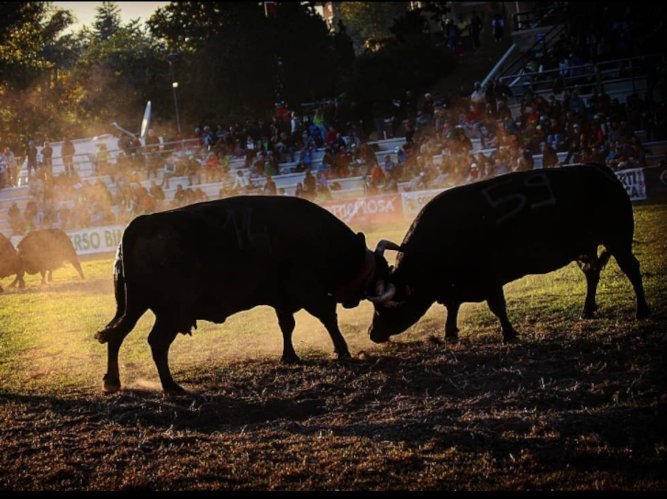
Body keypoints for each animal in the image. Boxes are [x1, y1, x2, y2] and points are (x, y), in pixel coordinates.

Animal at [93, 195, 386, 394]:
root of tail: (137, 226)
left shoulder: (282, 299)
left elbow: (287, 325)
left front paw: (289, 356)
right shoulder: (308, 291)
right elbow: (327, 318)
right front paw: (342, 351)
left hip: (132, 308)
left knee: (117, 336)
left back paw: (113, 381)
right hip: (170, 312)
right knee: (156, 342)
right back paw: (171, 386)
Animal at [368, 164, 648, 344]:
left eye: (383, 307)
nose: (372, 332)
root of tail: (603, 171)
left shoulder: (489, 277)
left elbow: (497, 306)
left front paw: (509, 333)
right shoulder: (458, 284)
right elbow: (453, 306)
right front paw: (450, 333)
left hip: (618, 239)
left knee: (632, 269)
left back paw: (642, 310)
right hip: (585, 248)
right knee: (592, 273)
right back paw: (587, 310)